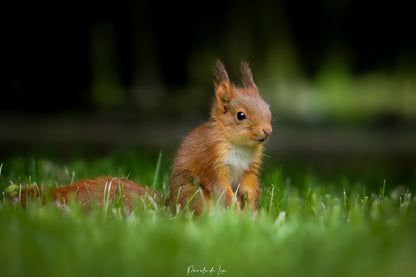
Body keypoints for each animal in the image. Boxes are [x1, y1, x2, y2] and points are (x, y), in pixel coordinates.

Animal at [16, 61, 272, 215]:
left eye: (267, 107)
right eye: (241, 116)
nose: (267, 131)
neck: (239, 146)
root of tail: (168, 207)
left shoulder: (250, 167)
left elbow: (250, 185)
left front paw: (252, 209)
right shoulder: (210, 159)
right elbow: (219, 185)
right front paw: (236, 207)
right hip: (194, 196)